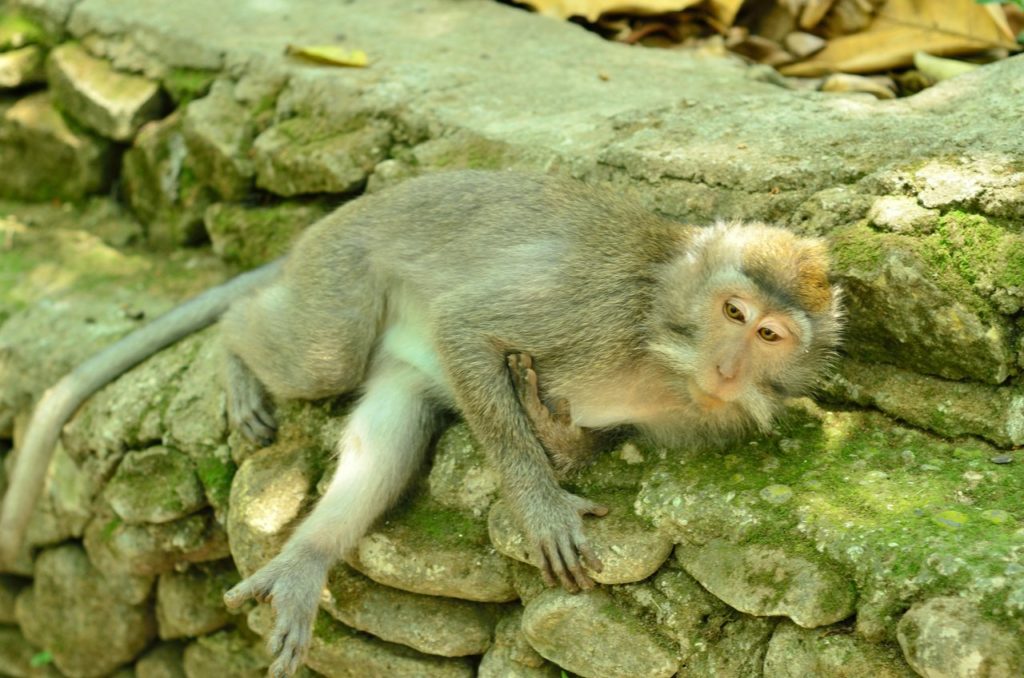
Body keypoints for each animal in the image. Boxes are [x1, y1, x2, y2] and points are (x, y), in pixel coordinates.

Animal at [0, 170, 842, 677]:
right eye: (732, 312)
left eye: (770, 334)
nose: (729, 367)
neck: (664, 344)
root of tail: (337, 218)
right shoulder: (595, 311)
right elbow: (470, 326)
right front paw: (540, 504)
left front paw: (557, 433)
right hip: (339, 274)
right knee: (318, 355)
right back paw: (235, 351)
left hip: (403, 357)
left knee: (383, 440)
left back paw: (304, 561)